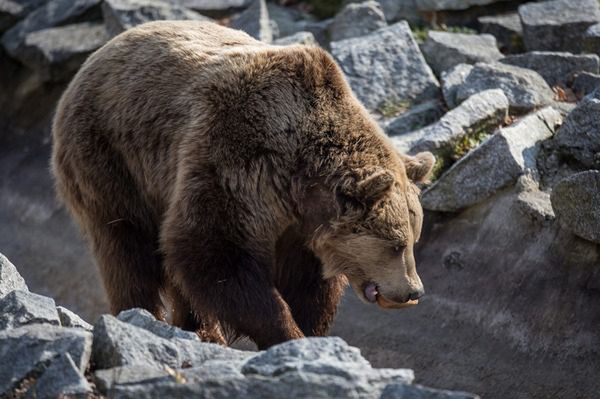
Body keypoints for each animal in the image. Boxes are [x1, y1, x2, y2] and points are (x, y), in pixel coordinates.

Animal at [51, 21, 434, 350]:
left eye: (413, 239)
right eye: (396, 244)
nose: (413, 291)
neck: (299, 177)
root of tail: (97, 55)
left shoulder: (299, 227)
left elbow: (308, 283)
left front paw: (309, 333)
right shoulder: (238, 159)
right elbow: (214, 250)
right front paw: (285, 333)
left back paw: (198, 329)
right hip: (111, 157)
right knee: (127, 247)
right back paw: (141, 314)